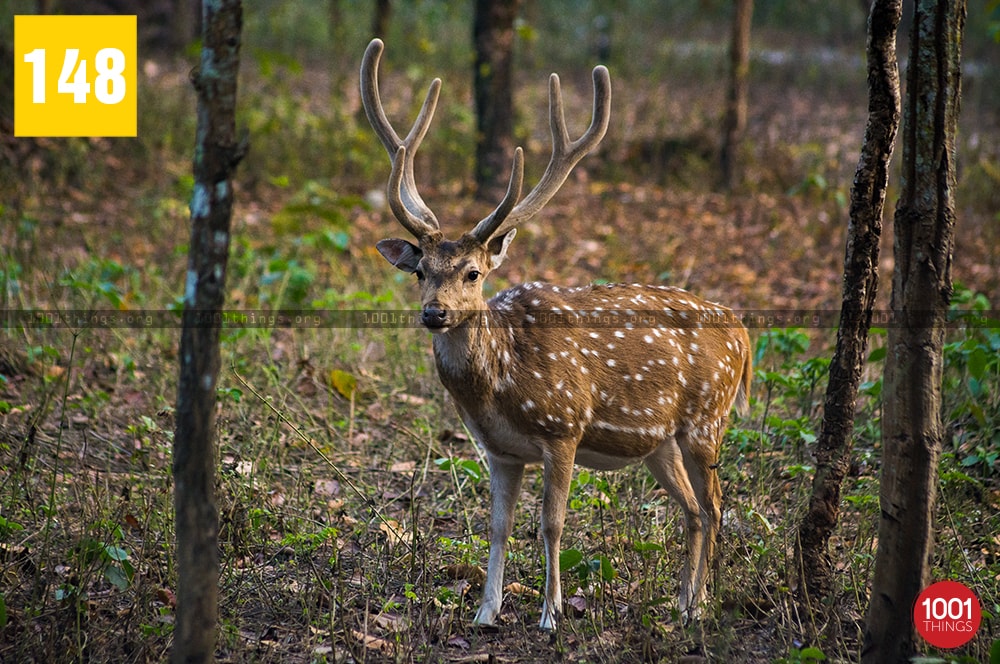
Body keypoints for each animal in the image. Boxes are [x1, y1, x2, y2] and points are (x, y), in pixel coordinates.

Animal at [360, 39, 752, 632]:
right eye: (420, 270)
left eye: (473, 273)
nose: (434, 313)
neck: (499, 387)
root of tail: (744, 332)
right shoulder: (499, 450)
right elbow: (497, 527)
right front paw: (485, 612)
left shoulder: (564, 427)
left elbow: (552, 525)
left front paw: (551, 613)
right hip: (660, 443)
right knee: (694, 512)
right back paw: (686, 602)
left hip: (708, 419)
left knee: (715, 505)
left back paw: (697, 607)